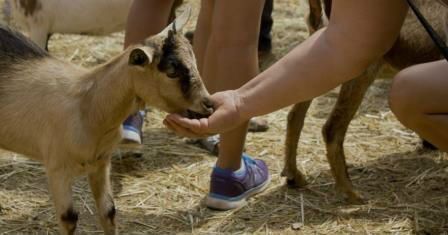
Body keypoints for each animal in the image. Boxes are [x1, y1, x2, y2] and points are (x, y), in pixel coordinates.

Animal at [0, 7, 212, 235]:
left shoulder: (101, 163)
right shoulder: (57, 168)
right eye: (171, 71)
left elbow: (109, 211)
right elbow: (69, 218)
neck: (88, 106)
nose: (209, 105)